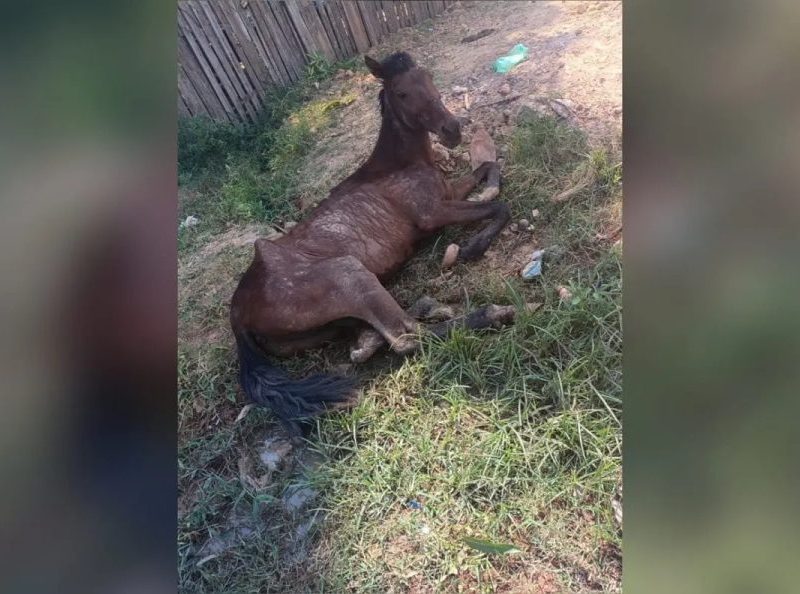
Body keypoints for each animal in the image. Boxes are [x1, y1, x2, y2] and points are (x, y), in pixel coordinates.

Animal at [230, 52, 514, 434]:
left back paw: (376, 338)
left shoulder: (449, 194)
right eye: (402, 93)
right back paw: (493, 313)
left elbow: (489, 169)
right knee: (407, 338)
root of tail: (238, 309)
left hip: (332, 321)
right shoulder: (432, 213)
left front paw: (486, 192)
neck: (398, 164)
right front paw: (473, 248)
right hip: (348, 273)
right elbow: (500, 204)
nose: (452, 130)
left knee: (379, 331)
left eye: (428, 77)